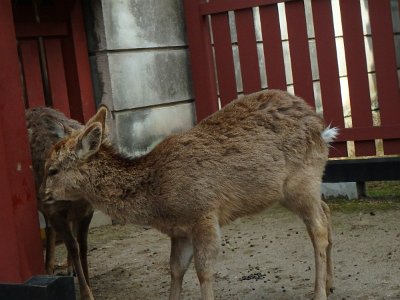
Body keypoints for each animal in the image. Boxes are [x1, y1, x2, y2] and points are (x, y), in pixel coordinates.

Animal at [26, 108, 95, 300]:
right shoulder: (54, 210)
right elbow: (73, 246)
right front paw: (86, 293)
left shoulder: (87, 211)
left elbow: (83, 246)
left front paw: (87, 284)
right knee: (51, 229)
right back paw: (49, 268)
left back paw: (66, 269)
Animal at [40, 89, 336, 300]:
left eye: (52, 170)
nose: (42, 196)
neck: (157, 201)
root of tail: (322, 127)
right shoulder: (179, 231)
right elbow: (175, 270)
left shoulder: (203, 213)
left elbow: (203, 271)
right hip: (298, 187)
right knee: (326, 211)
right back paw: (330, 284)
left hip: (302, 181)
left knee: (318, 228)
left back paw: (319, 293)